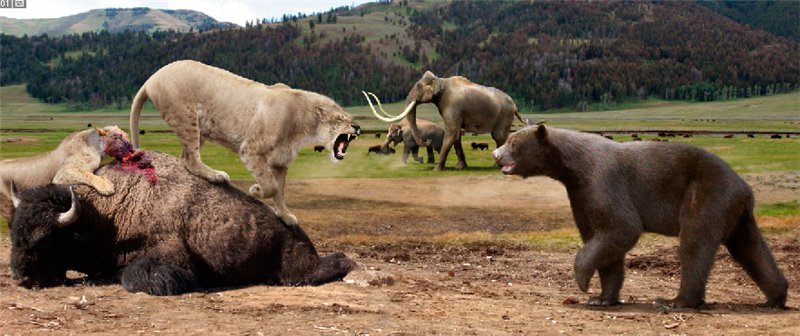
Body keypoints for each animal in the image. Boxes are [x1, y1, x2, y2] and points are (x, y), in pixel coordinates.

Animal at [130, 60, 360, 226]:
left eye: (349, 117)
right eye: (340, 118)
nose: (357, 127)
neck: (304, 126)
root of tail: (152, 77)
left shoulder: (280, 162)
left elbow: (280, 190)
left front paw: (285, 215)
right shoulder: (250, 150)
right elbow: (271, 187)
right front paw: (256, 191)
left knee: (185, 158)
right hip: (187, 118)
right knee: (192, 158)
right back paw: (216, 175)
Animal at [494, 124, 788, 308]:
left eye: (513, 142)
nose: (496, 154)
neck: (573, 168)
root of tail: (744, 187)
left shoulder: (603, 181)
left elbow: (622, 227)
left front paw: (582, 282)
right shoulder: (580, 194)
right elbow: (602, 237)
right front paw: (602, 298)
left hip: (706, 194)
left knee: (695, 243)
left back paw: (676, 301)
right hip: (734, 211)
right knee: (749, 248)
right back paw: (776, 297)